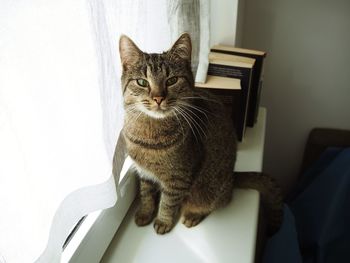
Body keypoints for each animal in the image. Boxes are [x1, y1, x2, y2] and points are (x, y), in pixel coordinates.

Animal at [119, 32, 284, 235]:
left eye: (172, 80)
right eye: (142, 82)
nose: (158, 98)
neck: (149, 132)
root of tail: (232, 177)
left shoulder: (178, 178)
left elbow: (168, 202)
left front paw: (163, 221)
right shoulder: (144, 173)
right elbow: (146, 193)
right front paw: (145, 212)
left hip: (209, 191)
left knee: (215, 202)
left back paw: (193, 214)